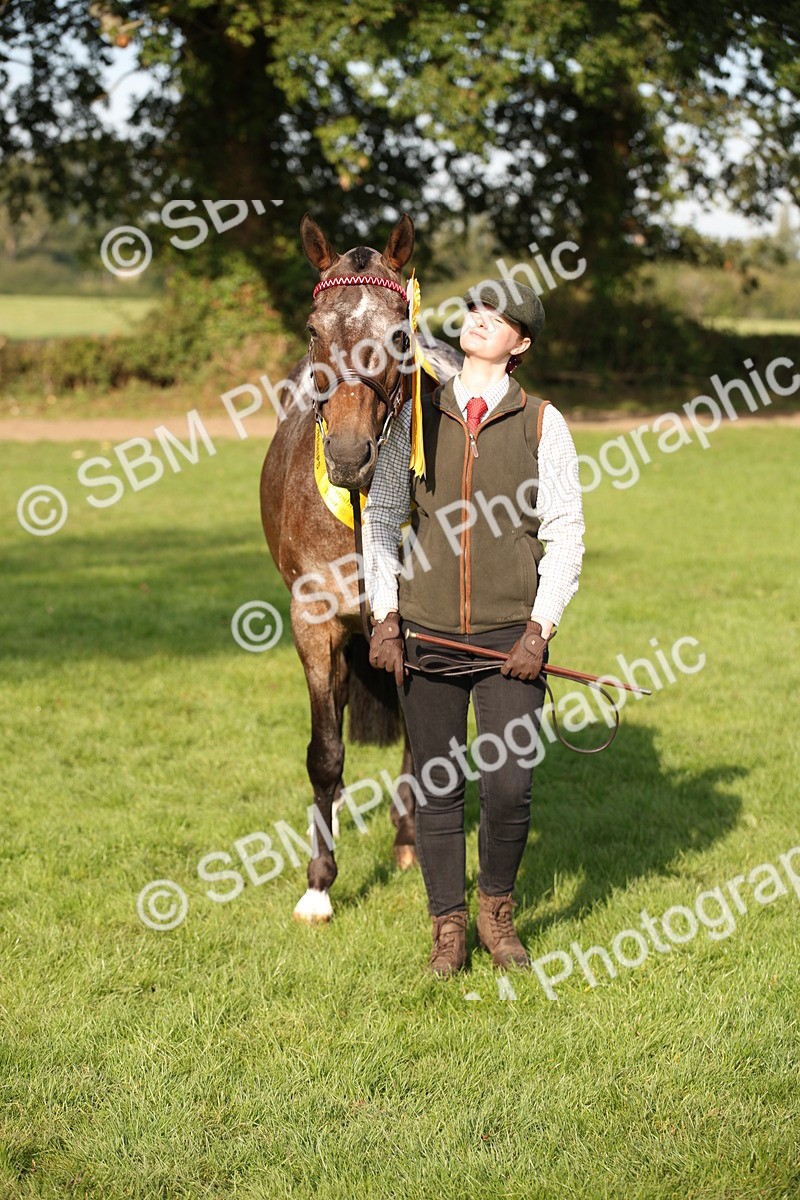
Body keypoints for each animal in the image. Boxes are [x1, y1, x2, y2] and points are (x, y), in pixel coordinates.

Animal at [259, 213, 463, 922]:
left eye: (398, 333)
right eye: (314, 331)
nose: (348, 456)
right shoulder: (315, 623)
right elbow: (325, 752)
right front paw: (319, 885)